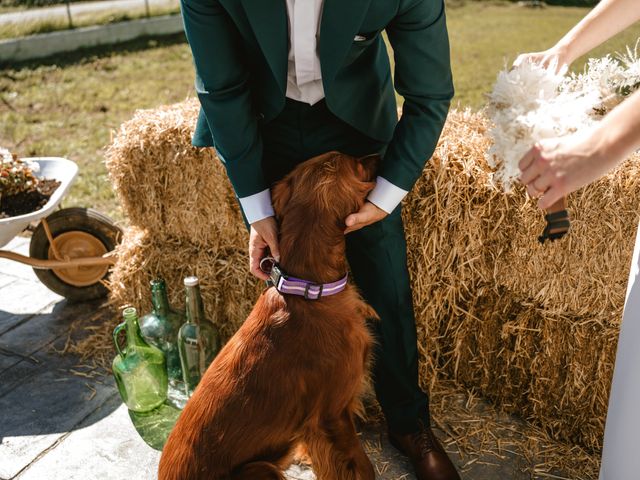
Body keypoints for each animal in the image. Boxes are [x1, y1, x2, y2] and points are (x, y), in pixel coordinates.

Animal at [159, 153, 380, 480]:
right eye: (358, 164)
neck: (308, 291)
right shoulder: (332, 415)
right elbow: (361, 467)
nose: (378, 155)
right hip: (259, 469)